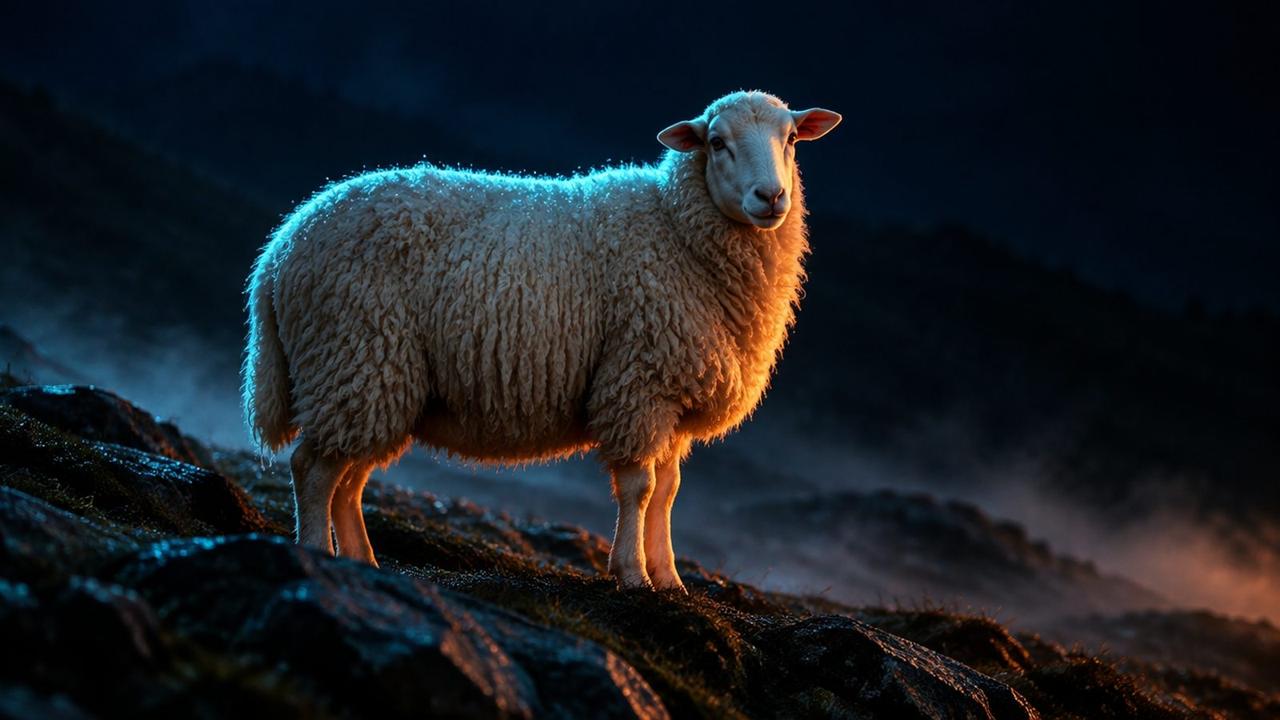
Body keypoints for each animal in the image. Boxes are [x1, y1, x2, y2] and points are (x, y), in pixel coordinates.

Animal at [242, 91, 840, 590]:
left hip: (380, 382)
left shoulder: (671, 394)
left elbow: (668, 491)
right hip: (353, 355)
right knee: (313, 469)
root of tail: (282, 246)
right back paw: (319, 553)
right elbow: (640, 488)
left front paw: (670, 580)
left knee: (349, 477)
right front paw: (631, 574)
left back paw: (361, 561)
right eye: (716, 142)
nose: (771, 197)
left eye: (791, 139)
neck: (675, 227)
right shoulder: (638, 382)